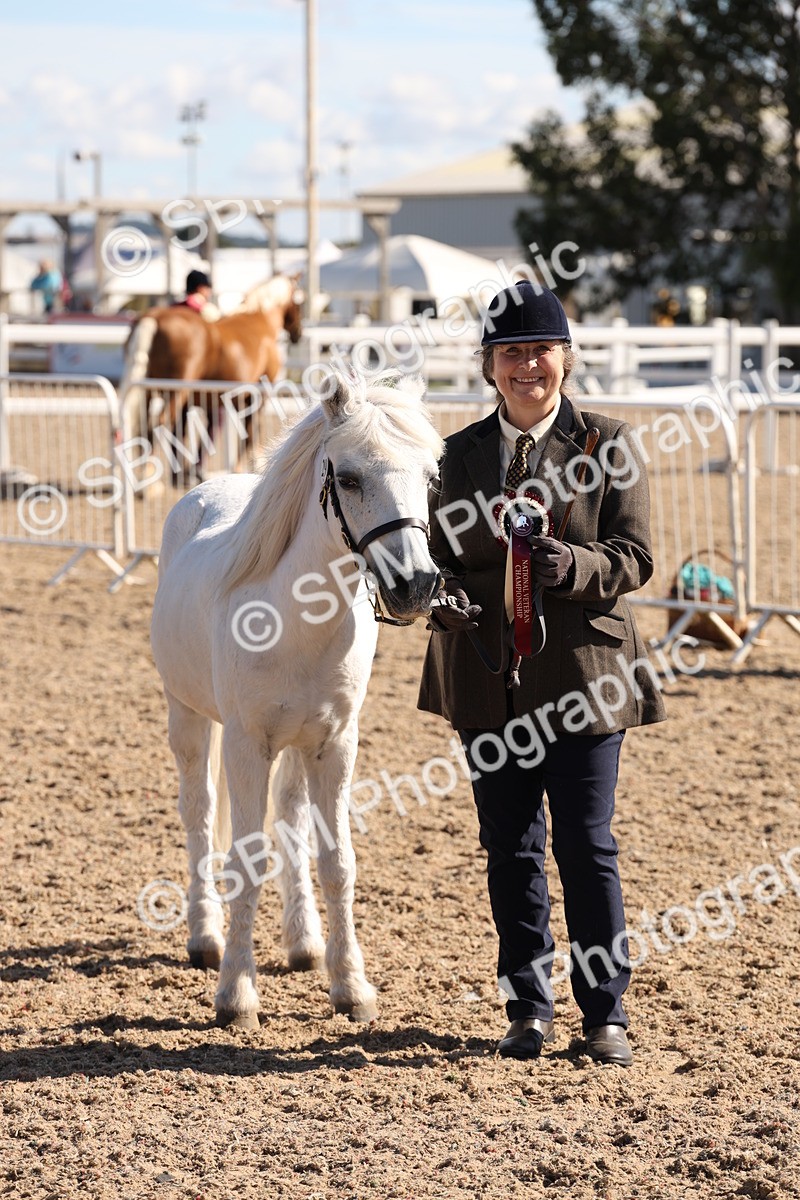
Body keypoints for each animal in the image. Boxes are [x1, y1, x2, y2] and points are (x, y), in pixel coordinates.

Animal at [120, 273, 304, 476]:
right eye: (300, 302)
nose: (298, 334)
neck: (259, 320)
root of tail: (154, 318)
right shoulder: (258, 395)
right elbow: (250, 432)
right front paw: (253, 465)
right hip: (174, 393)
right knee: (158, 425)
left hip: (149, 393)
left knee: (146, 430)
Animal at [150, 372, 444, 1029]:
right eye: (351, 477)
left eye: (430, 477)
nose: (415, 585)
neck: (294, 619)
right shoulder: (245, 743)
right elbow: (246, 860)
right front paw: (236, 996)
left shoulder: (333, 743)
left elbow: (336, 862)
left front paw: (351, 988)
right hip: (189, 719)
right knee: (199, 812)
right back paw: (205, 938)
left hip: (292, 748)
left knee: (288, 817)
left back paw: (303, 943)